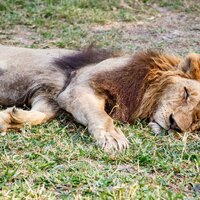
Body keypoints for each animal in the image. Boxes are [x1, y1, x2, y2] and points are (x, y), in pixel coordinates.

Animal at [0, 45, 200, 152]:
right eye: (185, 93)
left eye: (196, 121)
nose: (175, 124)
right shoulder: (78, 86)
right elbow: (102, 116)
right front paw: (113, 138)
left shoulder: (48, 95)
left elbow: (41, 115)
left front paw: (9, 119)